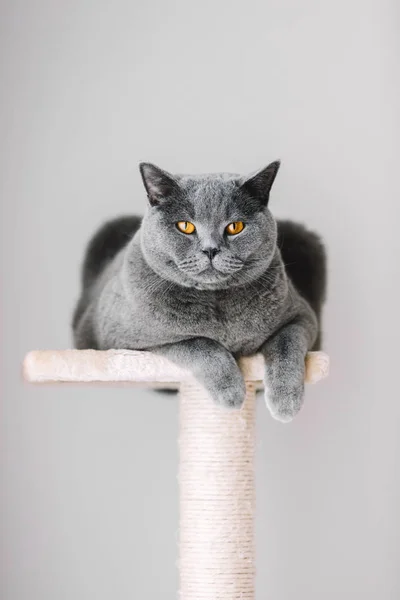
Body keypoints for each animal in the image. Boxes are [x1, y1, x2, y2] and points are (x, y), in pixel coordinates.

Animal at [72, 162, 324, 420]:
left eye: (235, 227)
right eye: (185, 226)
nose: (210, 249)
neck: (215, 301)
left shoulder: (302, 316)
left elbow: (287, 345)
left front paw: (286, 403)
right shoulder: (119, 340)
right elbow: (200, 343)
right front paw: (231, 393)